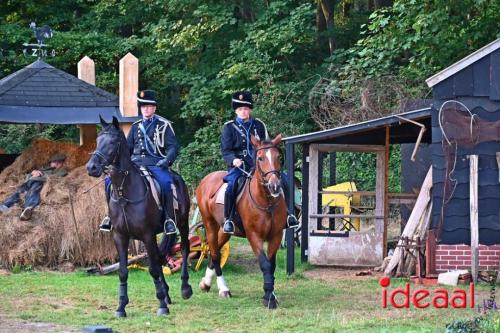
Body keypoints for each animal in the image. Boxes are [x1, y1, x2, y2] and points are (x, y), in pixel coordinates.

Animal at [86, 116, 191, 316]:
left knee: (184, 249)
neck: (125, 193)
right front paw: (121, 306)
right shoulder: (120, 236)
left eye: (113, 142)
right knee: (159, 256)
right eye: (97, 140)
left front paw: (162, 306)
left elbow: (153, 270)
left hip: (182, 223)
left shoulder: (147, 235)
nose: (91, 167)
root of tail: (177, 177)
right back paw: (166, 293)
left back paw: (184, 288)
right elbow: (123, 272)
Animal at [197, 133, 288, 308]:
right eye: (260, 158)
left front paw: (270, 294)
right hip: (210, 225)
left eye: (278, 157)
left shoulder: (276, 235)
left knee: (214, 251)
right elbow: (265, 264)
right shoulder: (254, 236)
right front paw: (269, 297)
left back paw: (206, 283)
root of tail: (207, 179)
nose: (274, 186)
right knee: (215, 253)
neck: (266, 202)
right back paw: (223, 289)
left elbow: (271, 265)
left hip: (225, 231)